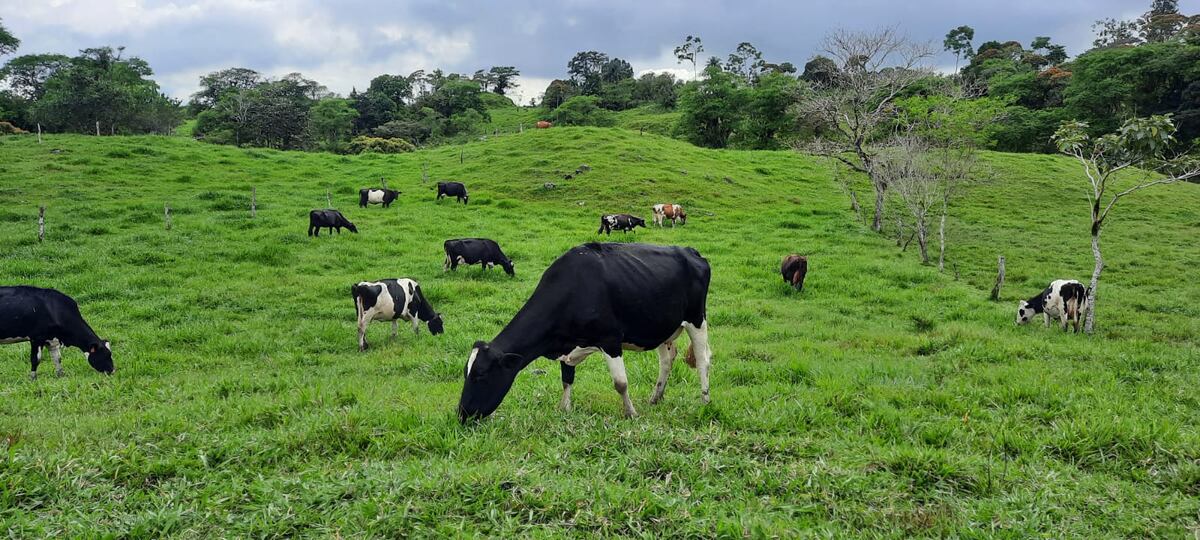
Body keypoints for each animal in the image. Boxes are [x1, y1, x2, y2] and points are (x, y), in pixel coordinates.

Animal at [453, 242, 705, 424]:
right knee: (667, 359)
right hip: (662, 327)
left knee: (703, 360)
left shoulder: (610, 340)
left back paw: (705, 398)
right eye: (466, 373)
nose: (462, 414)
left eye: (481, 375)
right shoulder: (566, 346)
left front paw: (631, 413)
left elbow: (620, 383)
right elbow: (566, 379)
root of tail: (690, 250)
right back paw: (656, 397)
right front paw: (564, 409)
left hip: (697, 319)